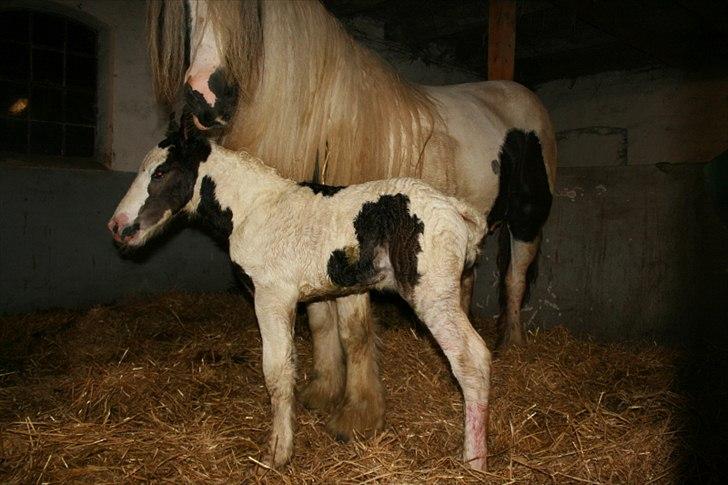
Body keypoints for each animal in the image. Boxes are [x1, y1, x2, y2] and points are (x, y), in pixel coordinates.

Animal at [108, 119, 492, 470]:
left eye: (161, 172)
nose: (117, 226)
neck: (252, 209)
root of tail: (456, 209)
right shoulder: (317, 293)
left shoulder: (271, 296)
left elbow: (277, 372)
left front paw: (277, 453)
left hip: (434, 296)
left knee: (472, 359)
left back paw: (473, 462)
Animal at [148, 0, 556, 444]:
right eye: (186, 11)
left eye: (245, 16)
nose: (202, 98)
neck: (328, 121)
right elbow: (320, 321)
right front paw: (323, 391)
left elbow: (353, 329)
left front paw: (358, 414)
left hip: (527, 225)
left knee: (514, 280)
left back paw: (512, 344)